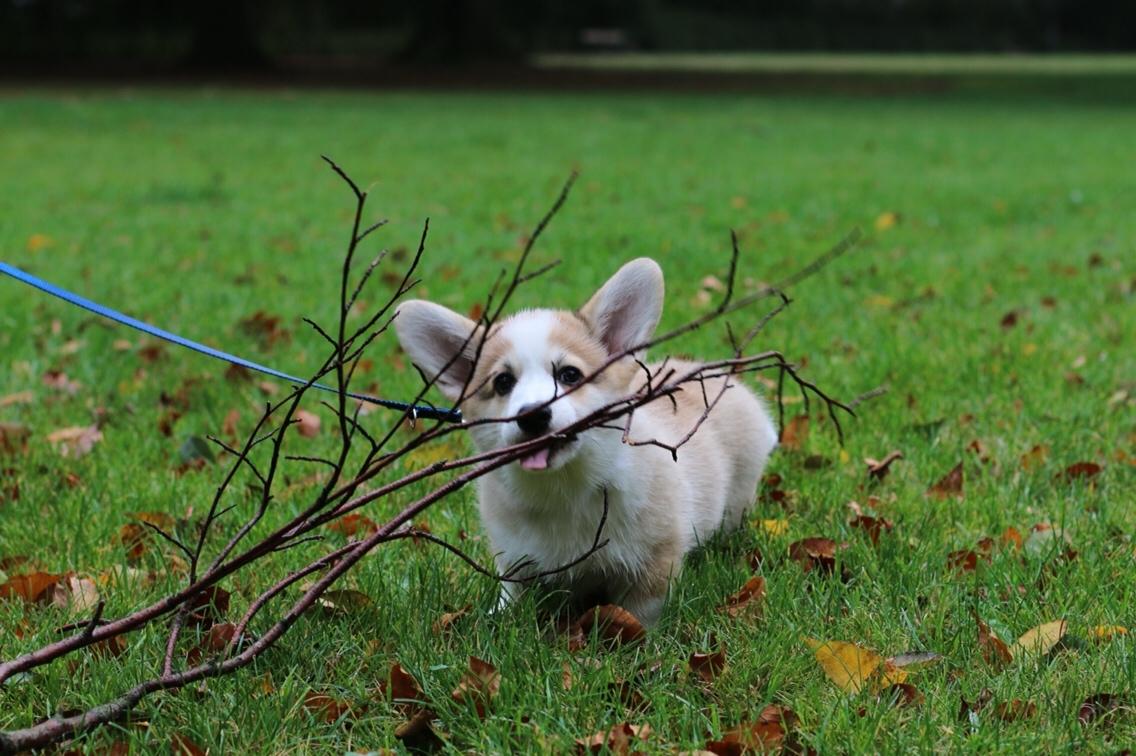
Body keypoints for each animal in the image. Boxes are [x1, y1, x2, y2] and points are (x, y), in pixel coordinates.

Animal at [395, 259, 777, 622]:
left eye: (570, 375)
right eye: (503, 382)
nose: (532, 414)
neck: (564, 489)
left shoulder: (655, 558)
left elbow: (640, 612)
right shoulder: (514, 557)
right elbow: (512, 592)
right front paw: (496, 617)